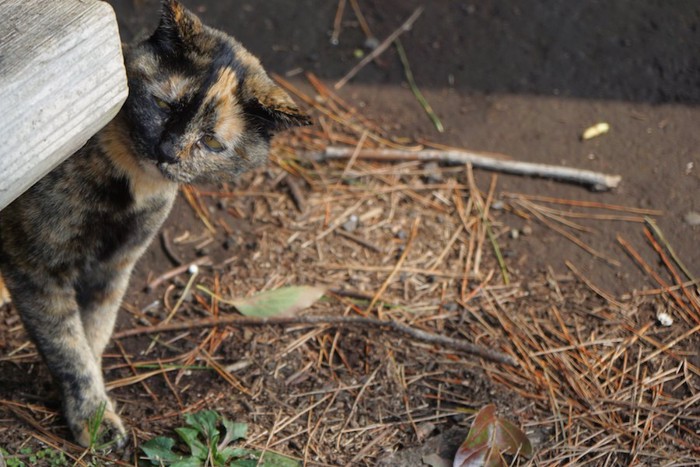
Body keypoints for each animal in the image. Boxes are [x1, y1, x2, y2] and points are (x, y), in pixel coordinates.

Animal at [0, 0, 308, 448]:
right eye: (164, 105)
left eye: (212, 142)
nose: (168, 151)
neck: (132, 189)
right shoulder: (35, 268)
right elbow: (68, 347)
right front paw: (93, 419)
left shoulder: (114, 268)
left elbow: (93, 335)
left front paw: (98, 406)